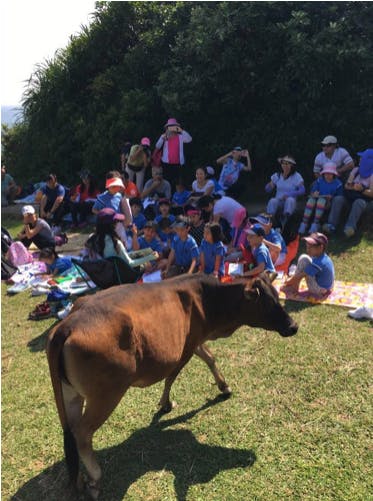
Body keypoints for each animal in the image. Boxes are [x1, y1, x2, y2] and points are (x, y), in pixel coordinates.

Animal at [46, 274, 296, 496]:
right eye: (268, 303)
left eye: (278, 296)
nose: (293, 326)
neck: (208, 299)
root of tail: (67, 324)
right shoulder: (185, 349)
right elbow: (172, 376)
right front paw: (165, 403)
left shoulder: (194, 341)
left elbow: (210, 358)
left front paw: (223, 386)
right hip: (106, 395)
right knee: (82, 433)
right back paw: (95, 478)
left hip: (72, 394)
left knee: (70, 432)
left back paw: (79, 480)